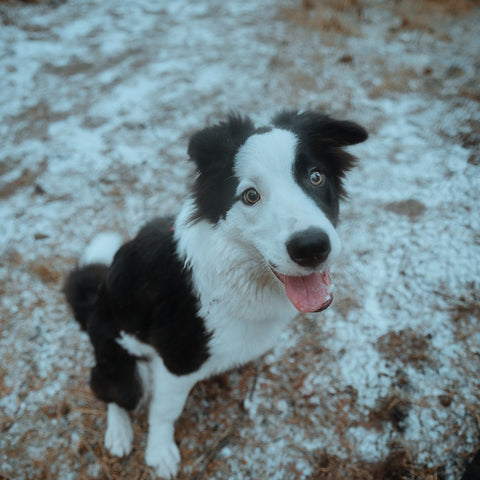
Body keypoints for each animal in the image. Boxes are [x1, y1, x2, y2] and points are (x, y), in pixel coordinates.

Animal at [64, 110, 368, 478]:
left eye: (316, 177)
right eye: (250, 195)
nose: (311, 247)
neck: (236, 271)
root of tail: (94, 304)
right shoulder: (177, 360)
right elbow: (164, 411)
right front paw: (159, 451)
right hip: (121, 362)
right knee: (111, 391)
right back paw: (119, 433)